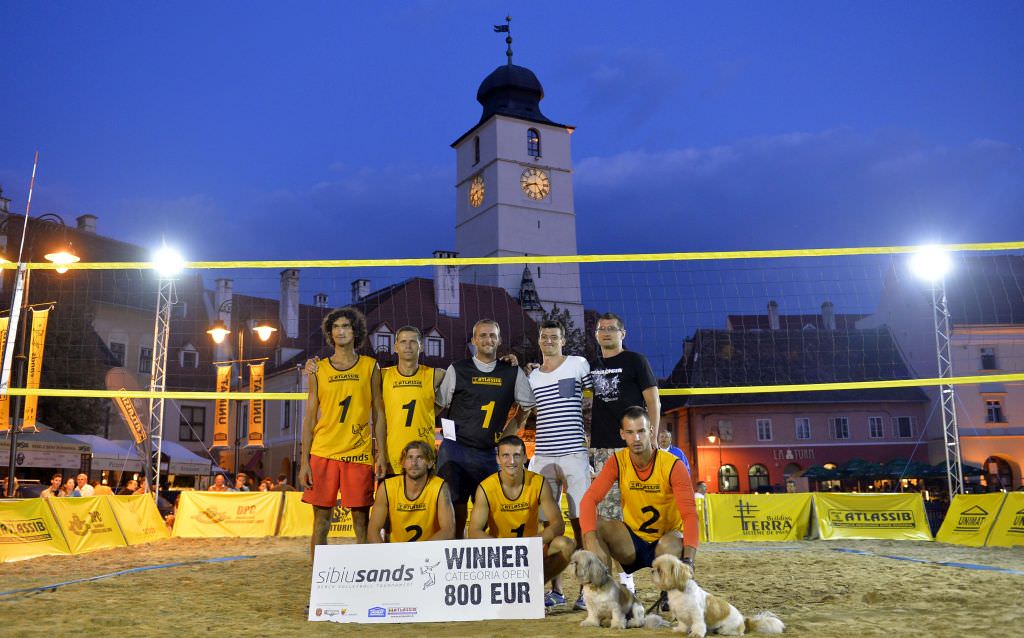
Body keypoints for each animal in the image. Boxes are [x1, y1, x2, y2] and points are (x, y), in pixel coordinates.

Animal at [647, 553, 782, 638]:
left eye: (660, 570)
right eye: (654, 567)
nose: (652, 570)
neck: (678, 591)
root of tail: (744, 620)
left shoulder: (696, 614)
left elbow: (698, 625)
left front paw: (696, 634)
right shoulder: (681, 615)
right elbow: (683, 624)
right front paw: (680, 630)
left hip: (726, 628)